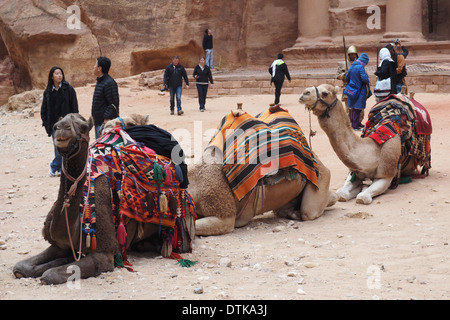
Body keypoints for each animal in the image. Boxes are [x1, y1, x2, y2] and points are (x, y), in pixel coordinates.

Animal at [13, 114, 193, 284]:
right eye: (56, 124)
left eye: (84, 126)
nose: (61, 128)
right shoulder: (59, 245)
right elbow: (21, 267)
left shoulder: (104, 254)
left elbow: (51, 275)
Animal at [298, 84, 428, 205]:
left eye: (325, 93)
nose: (304, 93)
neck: (374, 151)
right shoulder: (355, 172)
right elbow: (342, 194)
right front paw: (361, 186)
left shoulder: (386, 175)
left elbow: (363, 197)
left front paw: (363, 189)